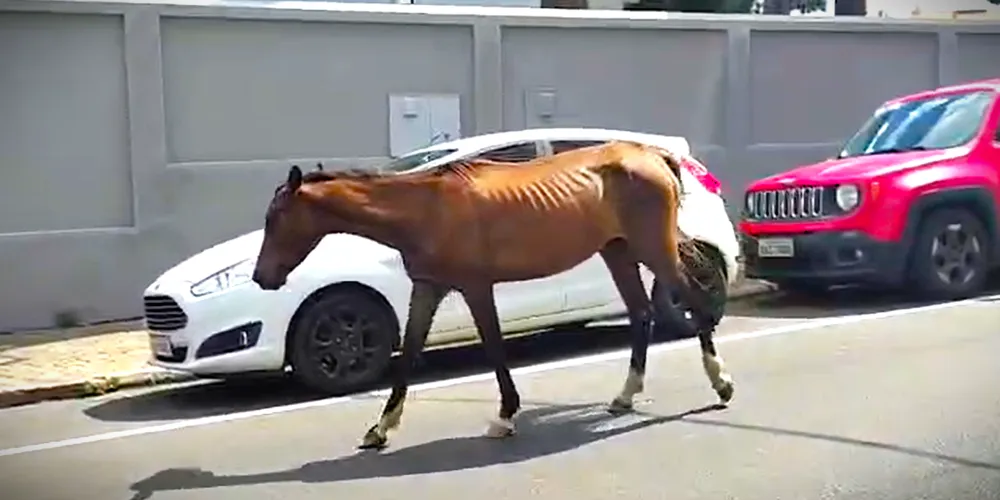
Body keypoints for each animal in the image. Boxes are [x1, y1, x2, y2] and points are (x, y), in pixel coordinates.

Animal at [250, 140, 735, 450]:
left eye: (277, 218)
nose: (260, 277)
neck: (425, 210)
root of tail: (651, 154)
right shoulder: (428, 287)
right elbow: (408, 354)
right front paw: (380, 428)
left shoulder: (475, 286)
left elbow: (494, 347)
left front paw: (505, 416)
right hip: (618, 251)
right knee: (640, 312)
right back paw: (625, 395)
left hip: (654, 249)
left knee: (692, 300)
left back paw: (721, 383)